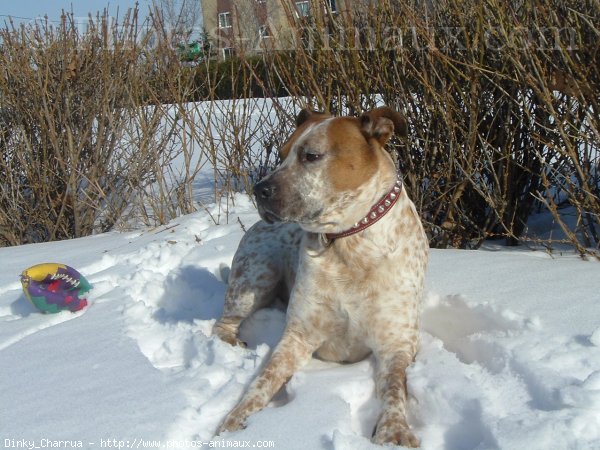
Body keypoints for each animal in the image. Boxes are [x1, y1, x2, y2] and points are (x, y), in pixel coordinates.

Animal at [213, 106, 428, 446]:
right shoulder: (297, 336)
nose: (259, 190)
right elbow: (262, 381)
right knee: (223, 323)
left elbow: (396, 388)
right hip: (253, 278)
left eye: (311, 155)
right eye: (282, 154)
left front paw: (394, 430)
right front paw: (233, 423)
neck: (348, 242)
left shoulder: (397, 343)